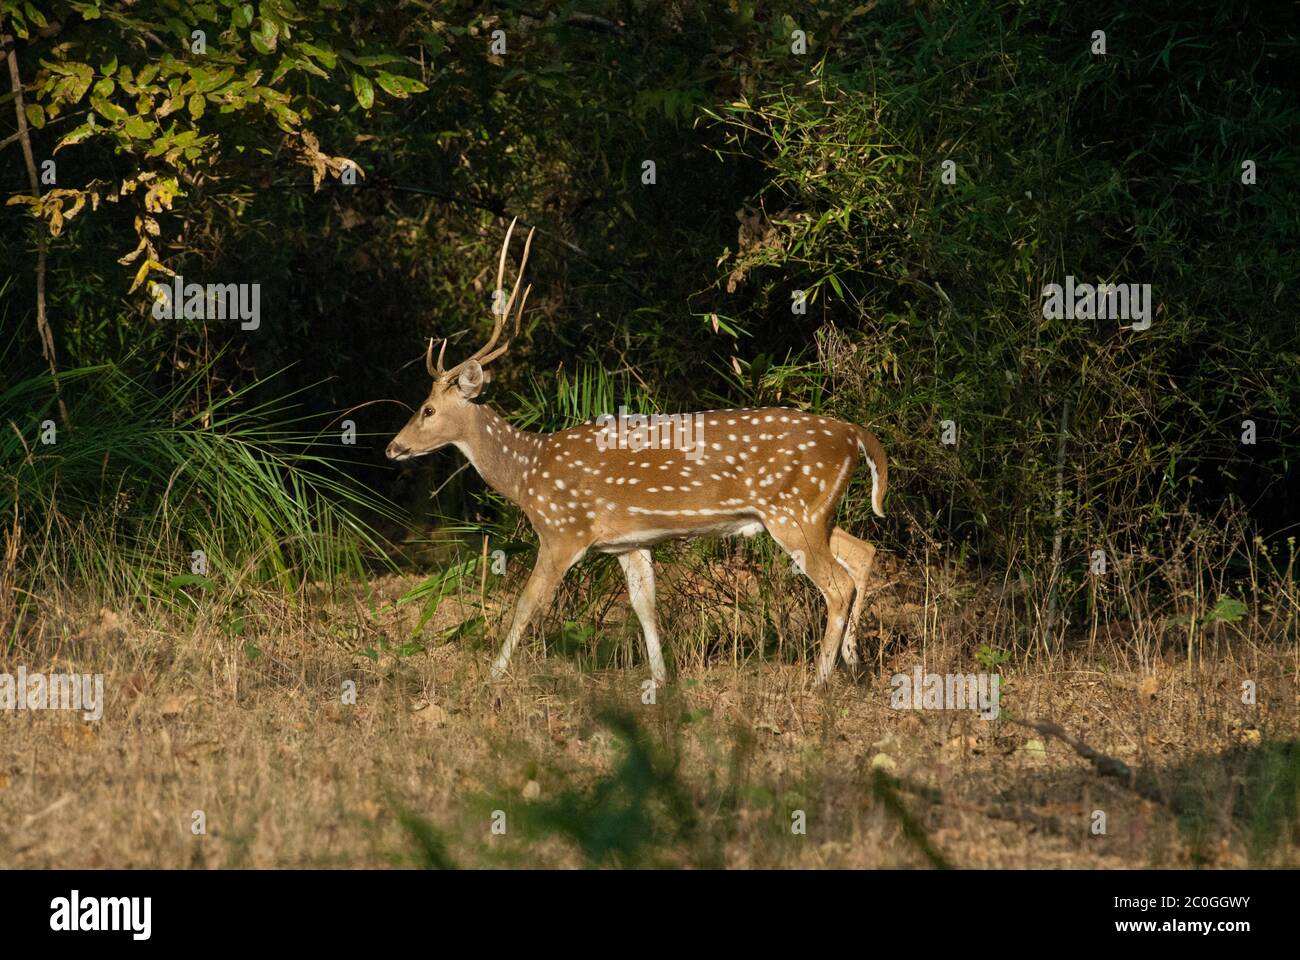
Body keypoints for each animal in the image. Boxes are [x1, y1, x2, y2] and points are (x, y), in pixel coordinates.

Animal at [386, 219, 888, 686]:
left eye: (428, 409)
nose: (394, 448)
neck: (525, 472)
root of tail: (855, 434)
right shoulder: (629, 542)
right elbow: (645, 607)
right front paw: (660, 680)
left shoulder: (562, 530)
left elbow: (527, 603)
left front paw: (493, 675)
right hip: (815, 511)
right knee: (864, 551)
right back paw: (853, 660)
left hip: (793, 510)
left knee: (838, 584)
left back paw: (820, 678)